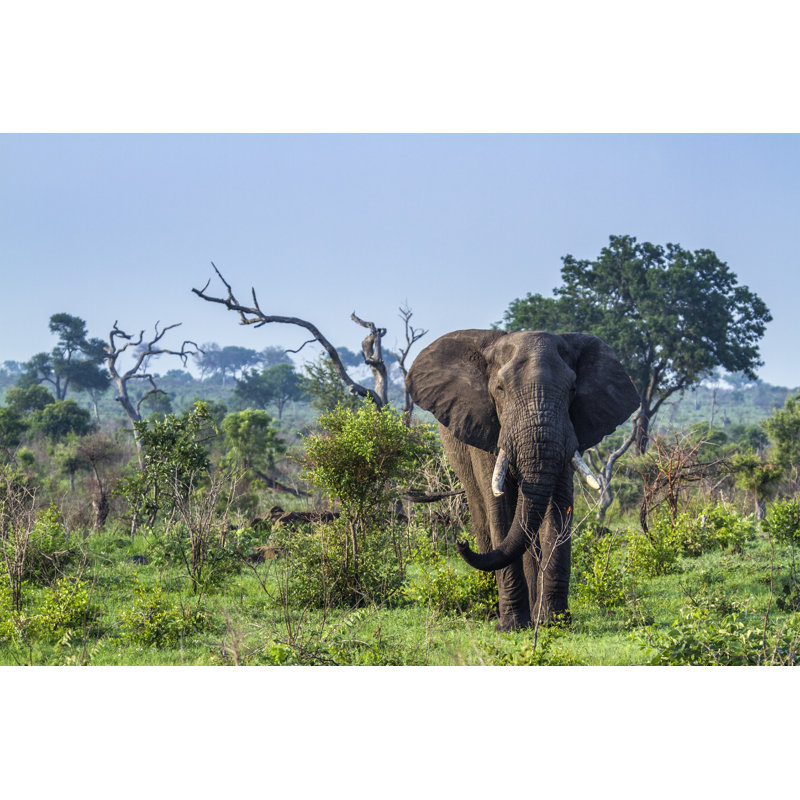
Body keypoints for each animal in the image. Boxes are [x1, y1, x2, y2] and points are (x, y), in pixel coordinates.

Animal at [406, 329, 639, 630]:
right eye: (500, 389)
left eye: (572, 390)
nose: (461, 542)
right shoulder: (486, 426)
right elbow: (501, 506)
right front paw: (511, 626)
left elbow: (557, 506)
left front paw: (554, 622)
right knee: (483, 512)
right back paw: (493, 610)